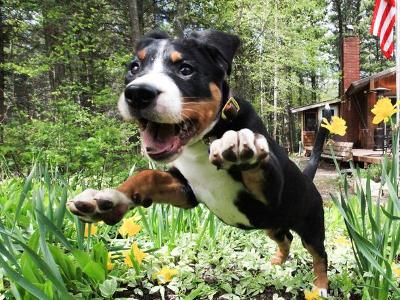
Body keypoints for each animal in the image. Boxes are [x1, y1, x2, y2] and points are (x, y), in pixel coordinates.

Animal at [69, 29, 330, 296]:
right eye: (134, 67)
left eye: (186, 69)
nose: (138, 94)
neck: (202, 143)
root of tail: (308, 180)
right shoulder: (187, 190)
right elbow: (149, 176)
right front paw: (109, 199)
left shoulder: (270, 195)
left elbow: (258, 164)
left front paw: (240, 143)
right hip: (271, 223)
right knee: (285, 238)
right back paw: (277, 261)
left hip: (310, 226)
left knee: (319, 255)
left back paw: (319, 287)